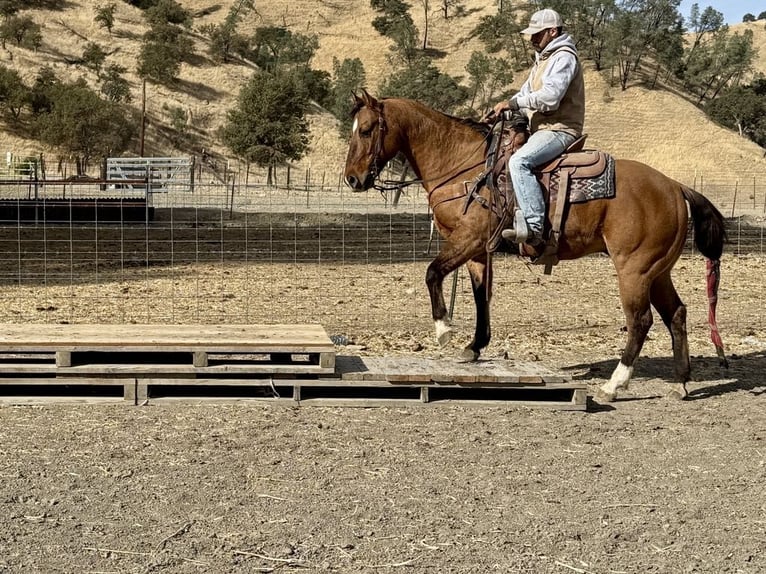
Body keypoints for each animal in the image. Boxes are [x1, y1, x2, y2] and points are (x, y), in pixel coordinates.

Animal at [343, 90, 727, 402]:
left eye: (366, 130)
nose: (352, 179)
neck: (464, 167)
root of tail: (675, 186)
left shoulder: (468, 239)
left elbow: (432, 272)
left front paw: (444, 330)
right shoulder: (479, 252)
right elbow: (482, 297)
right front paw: (474, 347)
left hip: (634, 269)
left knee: (641, 320)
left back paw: (614, 385)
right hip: (658, 271)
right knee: (676, 313)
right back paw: (681, 383)